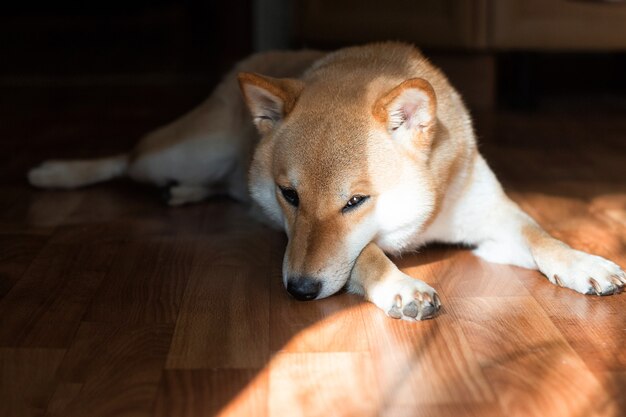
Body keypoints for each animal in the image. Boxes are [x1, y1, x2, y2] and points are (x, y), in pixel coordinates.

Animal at [30, 42, 624, 320]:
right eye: (290, 195)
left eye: (356, 200)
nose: (298, 291)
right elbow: (366, 254)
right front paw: (399, 285)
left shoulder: (492, 220)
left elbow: (542, 236)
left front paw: (585, 264)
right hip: (186, 151)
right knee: (127, 159)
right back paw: (55, 172)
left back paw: (184, 193)